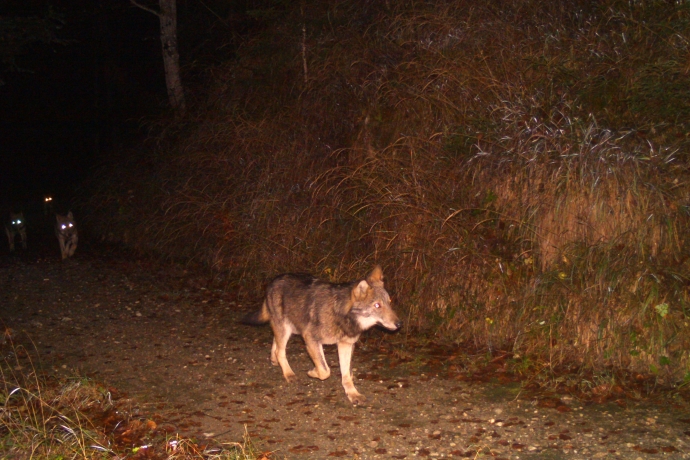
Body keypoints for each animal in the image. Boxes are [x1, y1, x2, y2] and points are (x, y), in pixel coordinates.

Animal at [243, 265, 401, 404]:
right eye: (377, 305)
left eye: (389, 302)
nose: (399, 324)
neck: (341, 315)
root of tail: (274, 280)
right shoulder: (310, 338)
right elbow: (325, 371)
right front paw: (313, 372)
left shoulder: (346, 345)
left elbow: (346, 375)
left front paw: (353, 394)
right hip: (286, 328)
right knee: (280, 351)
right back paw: (288, 374)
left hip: (291, 328)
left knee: (275, 344)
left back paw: (275, 360)